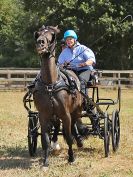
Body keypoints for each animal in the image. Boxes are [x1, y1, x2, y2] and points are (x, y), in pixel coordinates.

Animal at [33, 25, 82, 167]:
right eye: (38, 33)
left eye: (52, 34)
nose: (40, 42)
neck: (50, 84)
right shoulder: (43, 115)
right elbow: (45, 140)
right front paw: (45, 162)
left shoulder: (66, 114)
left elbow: (69, 136)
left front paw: (71, 158)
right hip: (54, 114)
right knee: (56, 126)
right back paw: (55, 144)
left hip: (75, 111)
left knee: (73, 126)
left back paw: (79, 140)